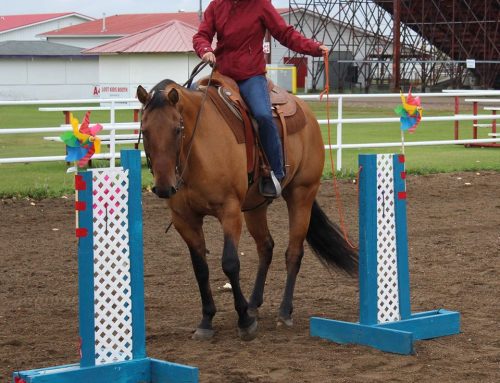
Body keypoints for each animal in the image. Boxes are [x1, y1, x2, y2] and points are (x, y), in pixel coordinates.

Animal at [136, 72, 356, 342]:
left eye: (177, 129)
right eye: (145, 130)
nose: (164, 188)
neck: (198, 150)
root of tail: (307, 113)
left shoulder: (229, 211)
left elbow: (230, 263)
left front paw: (244, 321)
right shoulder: (184, 219)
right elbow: (200, 268)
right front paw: (207, 320)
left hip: (301, 194)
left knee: (293, 252)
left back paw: (284, 311)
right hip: (254, 207)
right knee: (266, 247)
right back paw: (254, 303)